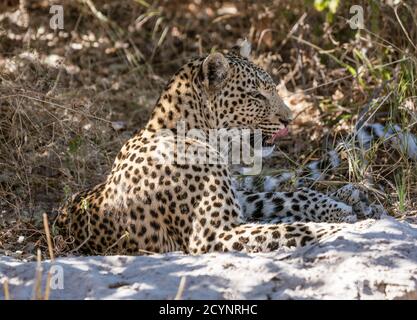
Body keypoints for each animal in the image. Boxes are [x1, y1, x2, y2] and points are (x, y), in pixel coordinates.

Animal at [56, 40, 380, 255]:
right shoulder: (212, 235)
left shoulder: (240, 202)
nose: (290, 119)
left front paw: (339, 208)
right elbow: (292, 227)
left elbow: (287, 196)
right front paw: (345, 229)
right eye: (256, 96)